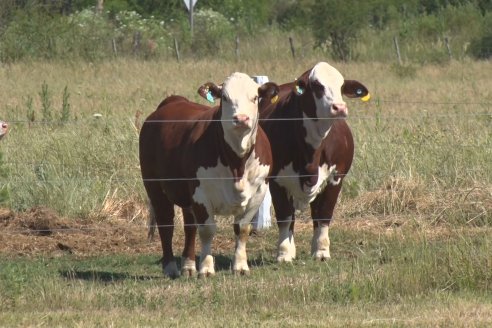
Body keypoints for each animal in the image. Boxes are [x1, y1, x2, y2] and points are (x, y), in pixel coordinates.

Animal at [140, 73, 278, 278]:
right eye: (225, 98)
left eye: (255, 98)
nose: (241, 118)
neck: (237, 163)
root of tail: (174, 101)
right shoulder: (201, 193)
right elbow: (207, 230)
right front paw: (206, 268)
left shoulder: (259, 191)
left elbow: (242, 228)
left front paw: (240, 266)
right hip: (154, 186)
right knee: (166, 224)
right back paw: (170, 267)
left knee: (189, 226)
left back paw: (188, 266)